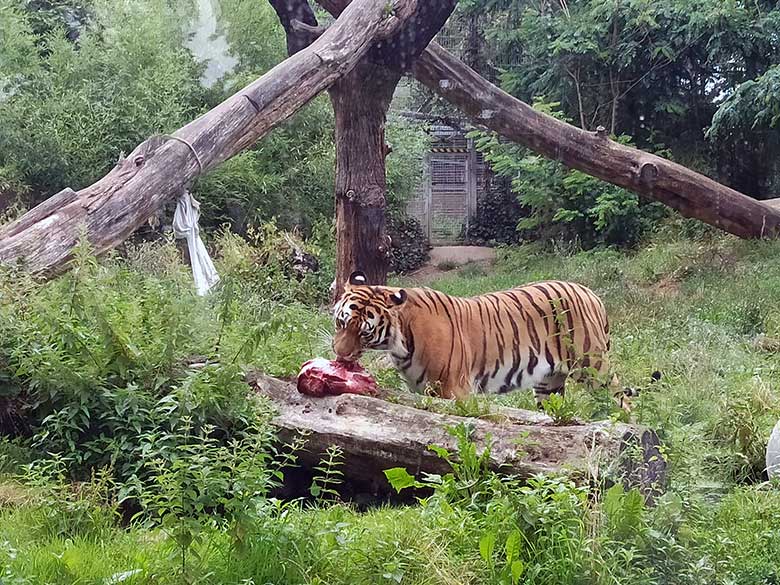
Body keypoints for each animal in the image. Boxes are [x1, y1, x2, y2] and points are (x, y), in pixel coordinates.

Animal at [332, 272, 620, 408]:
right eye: (341, 323)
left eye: (365, 332)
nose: (340, 355)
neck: (400, 345)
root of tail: (590, 293)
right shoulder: (419, 391)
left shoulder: (456, 390)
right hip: (549, 384)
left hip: (593, 366)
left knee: (620, 397)